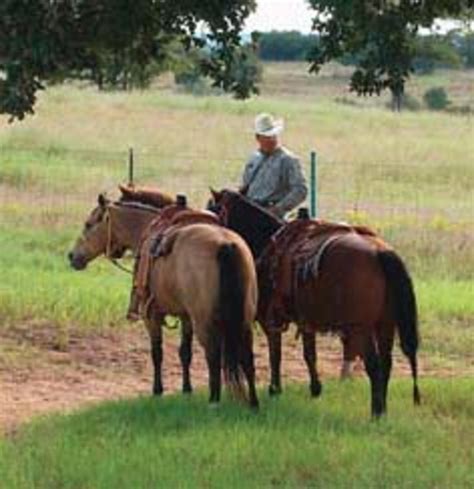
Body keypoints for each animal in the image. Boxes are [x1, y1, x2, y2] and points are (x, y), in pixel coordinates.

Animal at [69, 189, 260, 406]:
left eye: (88, 224)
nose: (72, 256)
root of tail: (226, 245)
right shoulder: (186, 317)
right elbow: (185, 352)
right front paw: (186, 389)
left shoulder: (151, 315)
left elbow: (157, 353)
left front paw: (157, 390)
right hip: (244, 319)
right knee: (247, 356)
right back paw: (253, 403)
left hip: (205, 321)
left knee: (213, 356)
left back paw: (214, 401)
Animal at [209, 189, 420, 418]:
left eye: (213, 208)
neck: (267, 243)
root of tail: (381, 252)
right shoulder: (305, 320)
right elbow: (309, 353)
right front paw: (315, 388)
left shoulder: (270, 319)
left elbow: (276, 353)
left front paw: (275, 389)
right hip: (385, 325)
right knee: (386, 363)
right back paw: (383, 409)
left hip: (362, 329)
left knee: (374, 366)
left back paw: (376, 412)